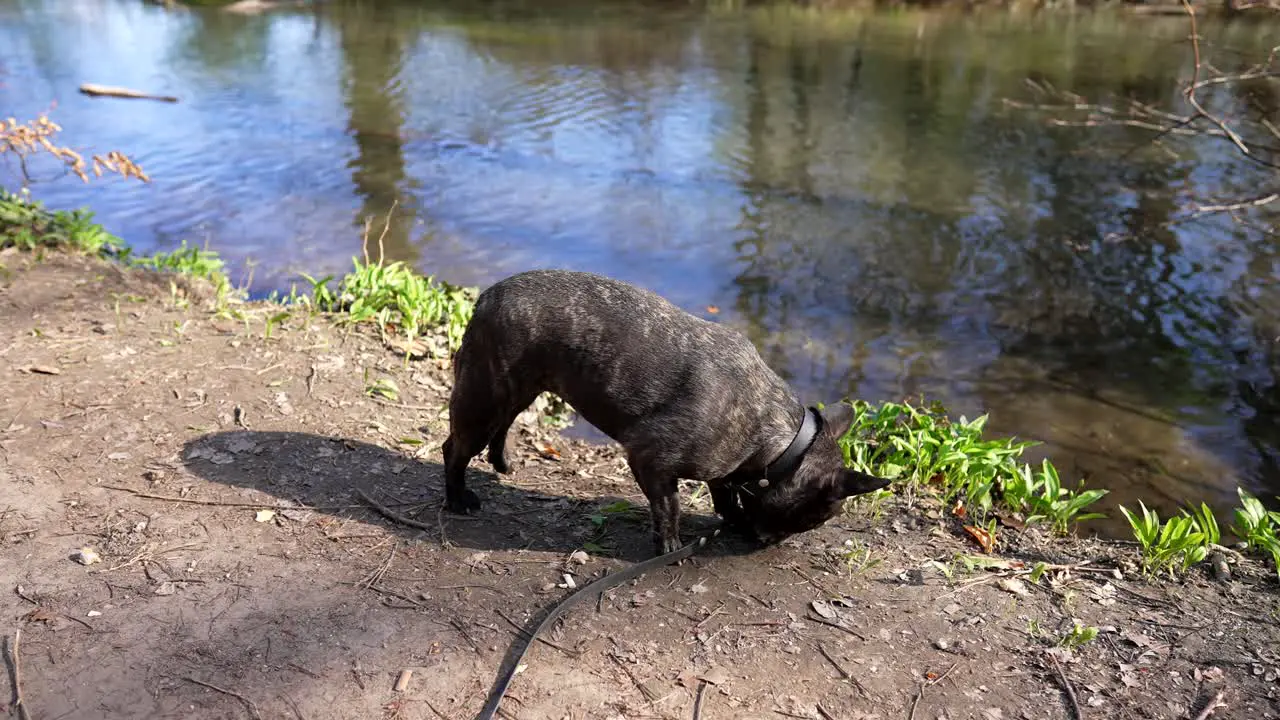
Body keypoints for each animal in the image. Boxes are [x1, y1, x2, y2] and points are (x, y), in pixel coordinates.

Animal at [440, 269, 890, 556]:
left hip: (517, 391)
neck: (780, 443)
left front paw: (734, 519)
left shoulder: (726, 470)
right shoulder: (651, 458)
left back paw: (502, 461)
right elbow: (670, 503)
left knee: (504, 424)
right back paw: (458, 499)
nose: (769, 543)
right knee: (455, 449)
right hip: (483, 396)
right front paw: (670, 543)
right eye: (810, 519)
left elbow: (726, 495)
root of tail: (486, 297)